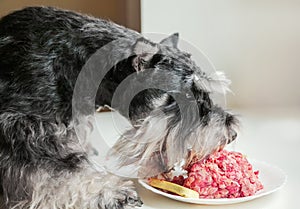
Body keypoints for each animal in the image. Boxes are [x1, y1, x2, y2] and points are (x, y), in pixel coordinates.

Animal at [0, 6, 239, 209]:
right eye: (187, 95)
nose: (232, 134)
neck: (78, 65)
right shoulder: (26, 131)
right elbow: (62, 171)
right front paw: (111, 193)